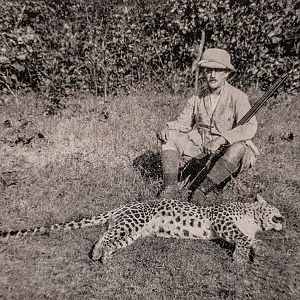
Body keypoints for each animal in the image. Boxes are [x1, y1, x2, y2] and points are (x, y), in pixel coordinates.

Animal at [0, 193, 284, 264]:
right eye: (276, 210)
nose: (284, 220)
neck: (253, 217)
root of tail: (124, 205)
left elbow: (253, 241)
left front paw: (260, 252)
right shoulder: (222, 221)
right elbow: (241, 239)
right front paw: (240, 258)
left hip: (134, 232)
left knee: (111, 237)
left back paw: (105, 256)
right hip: (133, 221)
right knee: (103, 236)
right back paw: (97, 253)